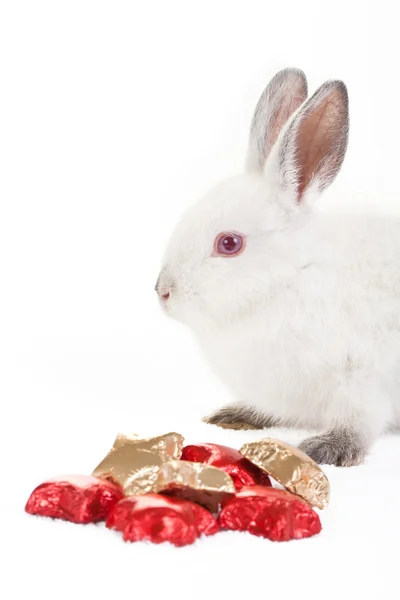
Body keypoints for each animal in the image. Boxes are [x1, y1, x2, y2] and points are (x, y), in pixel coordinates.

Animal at [155, 68, 400, 466]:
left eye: (229, 244)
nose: (163, 291)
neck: (292, 276)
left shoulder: (361, 380)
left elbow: (357, 423)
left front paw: (327, 448)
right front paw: (235, 415)